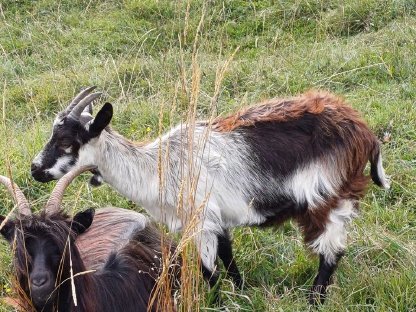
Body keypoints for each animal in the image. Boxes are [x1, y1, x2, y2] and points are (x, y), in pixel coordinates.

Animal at [30, 86, 390, 304]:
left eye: (66, 142)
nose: (35, 170)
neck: (156, 167)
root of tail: (364, 132)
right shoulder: (215, 218)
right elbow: (229, 259)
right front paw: (243, 293)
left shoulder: (200, 220)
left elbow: (209, 271)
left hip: (330, 195)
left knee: (332, 250)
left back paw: (314, 300)